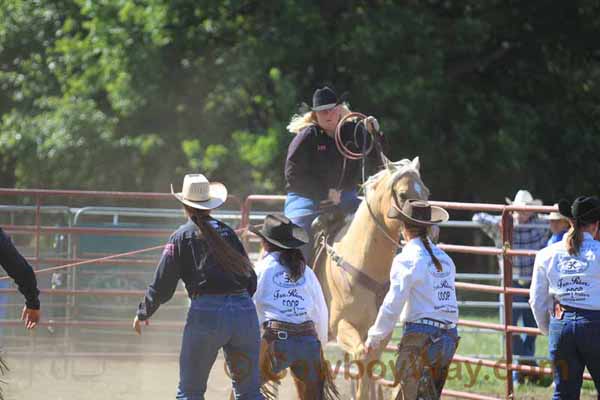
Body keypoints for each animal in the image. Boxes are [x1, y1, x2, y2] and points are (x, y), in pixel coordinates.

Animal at [314, 158, 426, 398]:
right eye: (403, 194)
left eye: (426, 192)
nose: (429, 229)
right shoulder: (341, 325)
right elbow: (361, 357)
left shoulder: (380, 332)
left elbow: (369, 365)